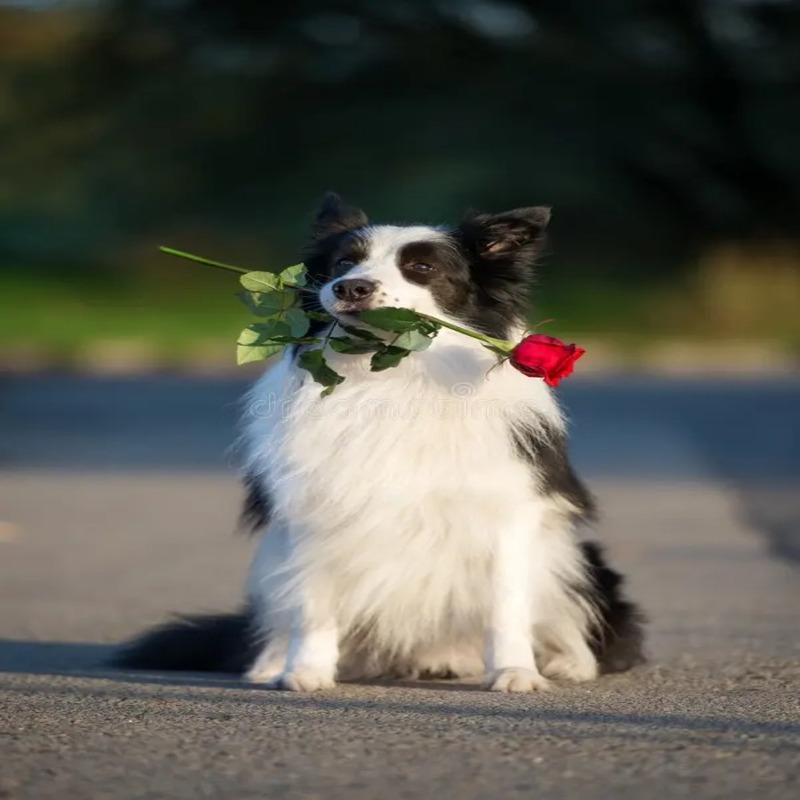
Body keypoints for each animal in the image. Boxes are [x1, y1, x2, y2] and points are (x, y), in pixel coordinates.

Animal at [119, 191, 644, 692]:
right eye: (342, 263)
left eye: (422, 268)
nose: (351, 288)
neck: (391, 377)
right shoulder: (313, 512)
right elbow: (312, 605)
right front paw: (304, 672)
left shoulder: (508, 513)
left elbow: (506, 607)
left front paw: (516, 672)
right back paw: (271, 665)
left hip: (578, 557)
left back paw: (565, 663)